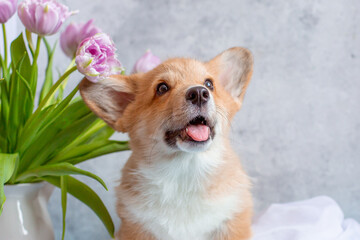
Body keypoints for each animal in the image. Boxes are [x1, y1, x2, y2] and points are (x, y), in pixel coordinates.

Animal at [79, 47, 253, 240]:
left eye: (209, 84)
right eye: (162, 88)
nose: (199, 93)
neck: (184, 172)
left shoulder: (232, 222)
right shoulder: (136, 228)